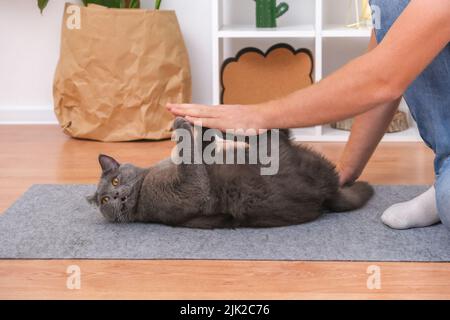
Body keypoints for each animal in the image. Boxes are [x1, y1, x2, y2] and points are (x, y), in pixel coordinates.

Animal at [87, 117, 372, 228]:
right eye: (105, 200)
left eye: (115, 180)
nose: (117, 196)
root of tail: (326, 195)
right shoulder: (188, 191)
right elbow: (191, 164)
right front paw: (182, 125)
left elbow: (200, 151)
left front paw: (195, 128)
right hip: (270, 145)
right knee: (274, 131)